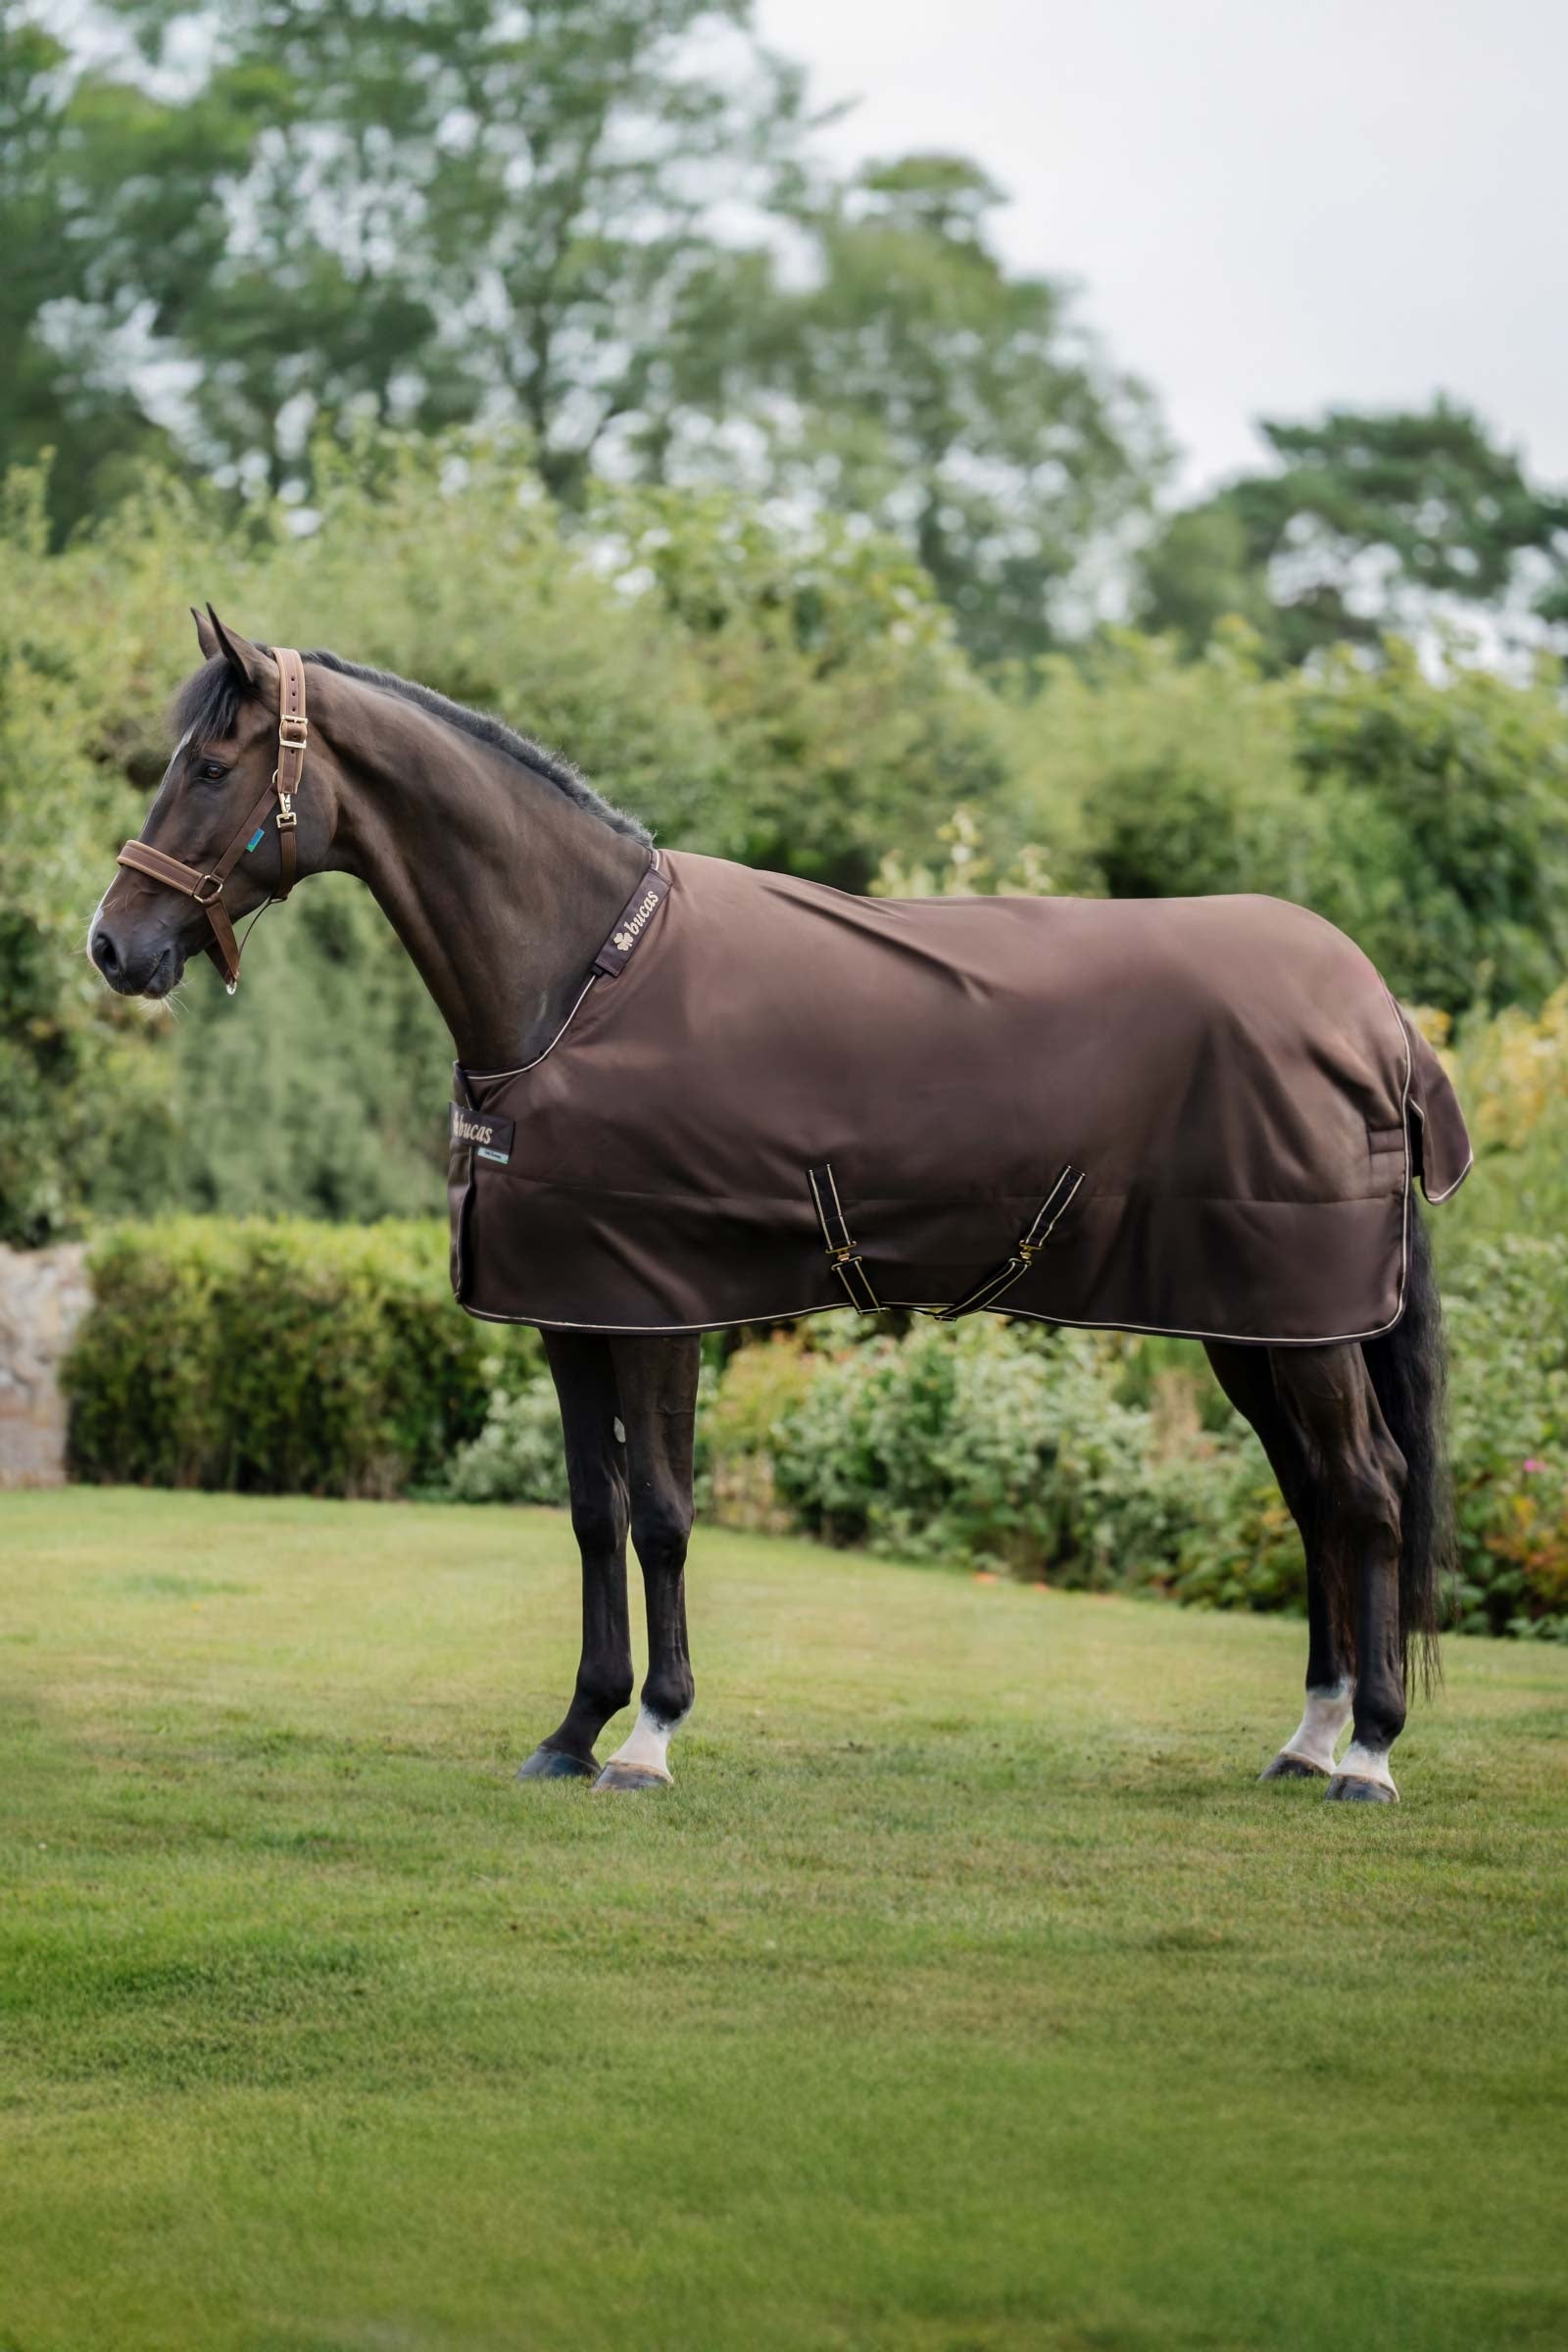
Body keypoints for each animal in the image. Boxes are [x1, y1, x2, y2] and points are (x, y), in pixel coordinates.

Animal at [89, 609, 1469, 1804]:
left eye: (210, 767)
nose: (113, 947)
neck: (580, 977)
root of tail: (1379, 1015)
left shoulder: (657, 1311)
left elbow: (661, 1516)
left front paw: (648, 1738)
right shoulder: (567, 1313)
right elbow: (590, 1516)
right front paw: (573, 1729)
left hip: (1305, 1326)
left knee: (1366, 1490)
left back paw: (1368, 1755)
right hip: (1260, 1326)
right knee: (1314, 1498)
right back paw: (1308, 1737)